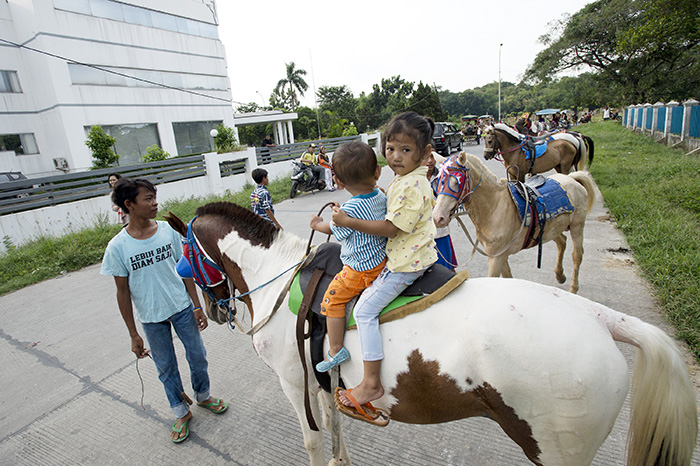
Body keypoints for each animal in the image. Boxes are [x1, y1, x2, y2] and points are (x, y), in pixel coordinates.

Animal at [164, 204, 696, 466]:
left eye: (183, 256)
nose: (210, 310)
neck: (279, 276)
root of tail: (594, 315)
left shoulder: (294, 385)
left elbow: (314, 442)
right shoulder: (319, 380)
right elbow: (334, 431)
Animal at [434, 151, 592, 294]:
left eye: (456, 181)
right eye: (438, 180)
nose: (438, 217)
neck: (494, 207)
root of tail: (572, 179)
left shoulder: (496, 259)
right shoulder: (500, 256)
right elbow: (508, 277)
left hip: (577, 226)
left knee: (577, 255)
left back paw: (573, 288)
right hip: (551, 229)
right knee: (562, 242)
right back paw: (560, 275)